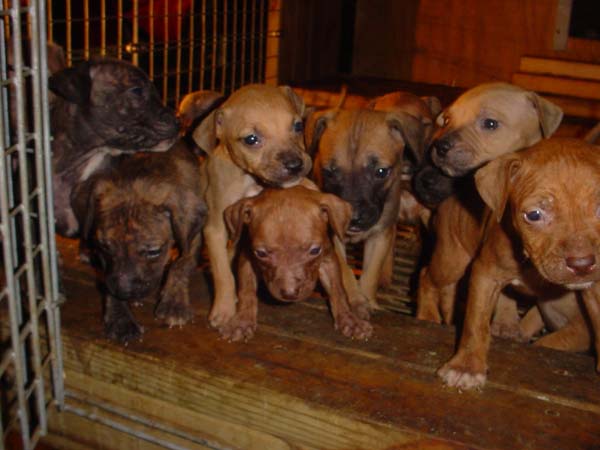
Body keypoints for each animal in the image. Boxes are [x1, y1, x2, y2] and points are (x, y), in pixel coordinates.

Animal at [71, 143, 207, 344]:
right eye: (104, 247)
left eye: (154, 251)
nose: (124, 291)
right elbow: (108, 280)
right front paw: (120, 319)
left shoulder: (193, 238)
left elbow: (181, 264)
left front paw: (174, 303)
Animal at [192, 84, 315, 332]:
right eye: (251, 139)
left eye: (298, 126)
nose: (295, 165)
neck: (251, 180)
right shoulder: (215, 230)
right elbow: (223, 273)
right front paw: (224, 309)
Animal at [222, 185, 373, 341]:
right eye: (261, 253)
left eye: (315, 250)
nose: (289, 294)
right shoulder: (247, 259)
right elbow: (247, 292)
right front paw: (242, 320)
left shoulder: (328, 259)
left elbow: (338, 290)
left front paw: (349, 319)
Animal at [306, 92, 439, 309]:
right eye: (329, 172)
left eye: (381, 172)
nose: (353, 219)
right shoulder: (332, 235)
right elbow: (344, 271)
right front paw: (353, 299)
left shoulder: (379, 235)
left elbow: (370, 274)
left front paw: (368, 299)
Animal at [422, 138, 600, 389]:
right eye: (534, 215)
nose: (582, 263)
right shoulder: (486, 274)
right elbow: (475, 322)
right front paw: (466, 367)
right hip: (451, 259)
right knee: (426, 276)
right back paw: (427, 315)